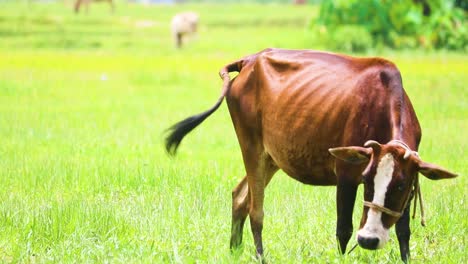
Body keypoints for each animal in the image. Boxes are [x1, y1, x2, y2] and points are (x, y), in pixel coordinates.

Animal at [165, 48, 458, 260]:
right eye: (366, 179)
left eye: (399, 185)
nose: (369, 240)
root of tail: (249, 60)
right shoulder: (346, 174)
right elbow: (343, 230)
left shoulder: (410, 179)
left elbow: (403, 232)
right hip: (251, 145)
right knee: (255, 210)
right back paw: (259, 256)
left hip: (272, 156)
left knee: (239, 197)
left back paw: (234, 252)